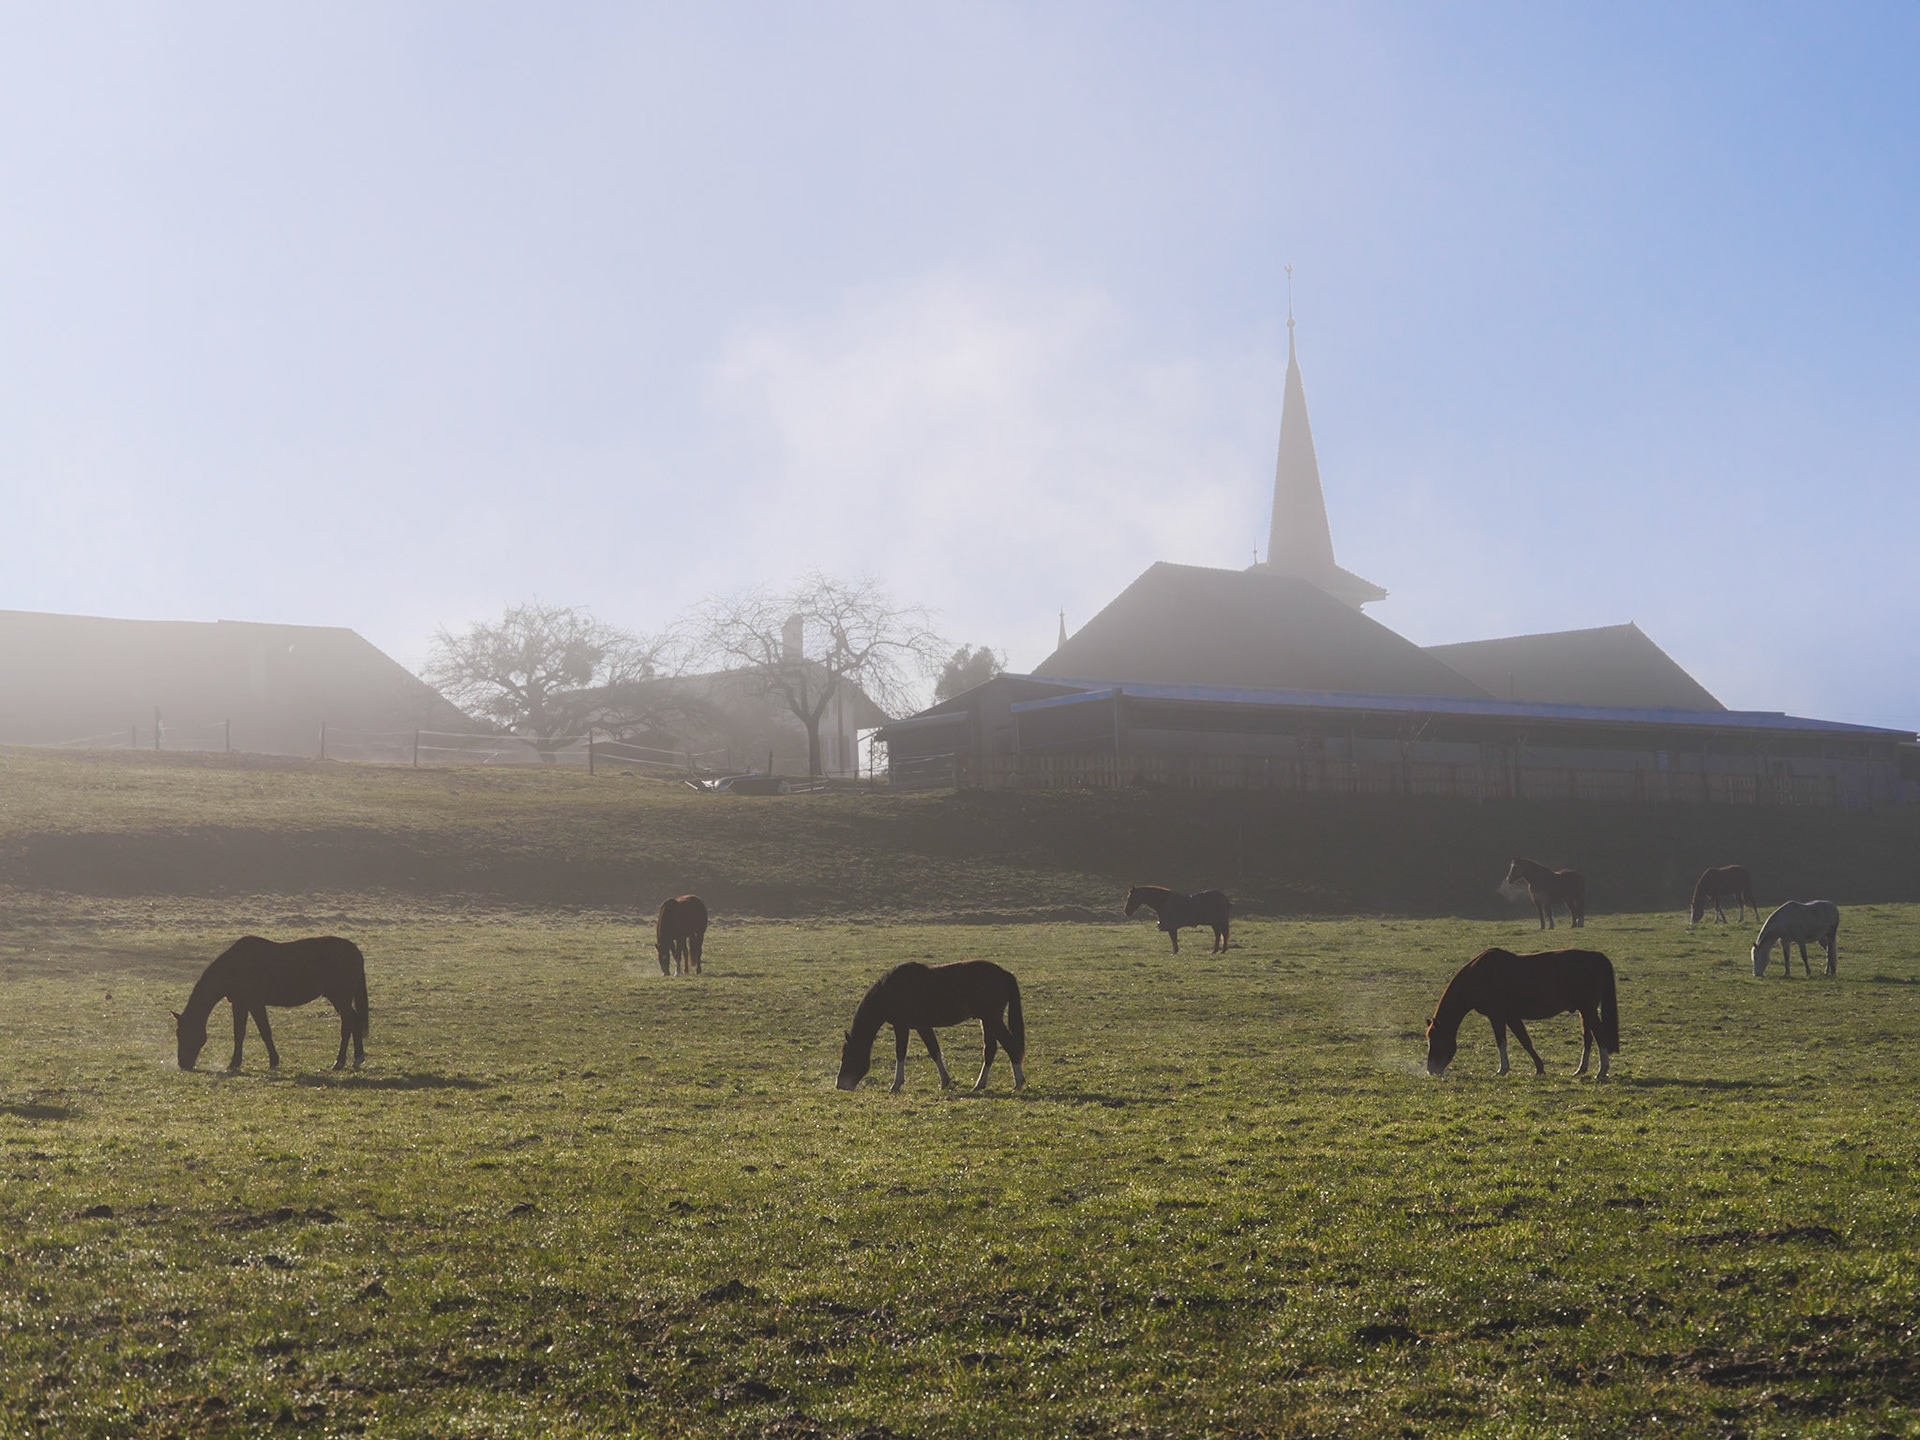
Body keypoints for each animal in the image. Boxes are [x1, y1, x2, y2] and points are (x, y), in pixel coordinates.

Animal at [172, 936, 369, 1073]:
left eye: (184, 1034)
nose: (183, 1063)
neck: (234, 966)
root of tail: (355, 951)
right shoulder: (240, 1004)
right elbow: (240, 1033)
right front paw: (236, 1064)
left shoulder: (254, 1003)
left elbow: (263, 1032)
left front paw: (271, 1062)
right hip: (338, 998)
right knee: (354, 1020)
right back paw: (357, 1059)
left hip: (340, 997)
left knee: (347, 1024)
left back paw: (339, 1062)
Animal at [836, 960, 1025, 1094]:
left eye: (847, 1057)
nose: (840, 1084)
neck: (890, 991)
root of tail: (1004, 974)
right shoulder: (922, 1026)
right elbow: (934, 1050)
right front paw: (945, 1081)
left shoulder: (902, 1025)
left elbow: (900, 1052)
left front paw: (896, 1084)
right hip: (986, 1020)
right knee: (990, 1049)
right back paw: (980, 1084)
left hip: (992, 1019)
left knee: (1010, 1045)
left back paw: (1018, 1083)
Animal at [1425, 948, 1619, 1079]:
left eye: (1435, 1039)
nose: (1431, 1070)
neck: (1480, 975)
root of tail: (1598, 957)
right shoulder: (1511, 1016)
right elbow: (1525, 1041)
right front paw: (1539, 1068)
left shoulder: (1497, 1016)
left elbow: (1504, 1041)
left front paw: (1502, 1069)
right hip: (1585, 1011)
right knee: (1588, 1037)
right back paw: (1581, 1069)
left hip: (1588, 1009)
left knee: (1600, 1035)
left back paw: (1602, 1071)